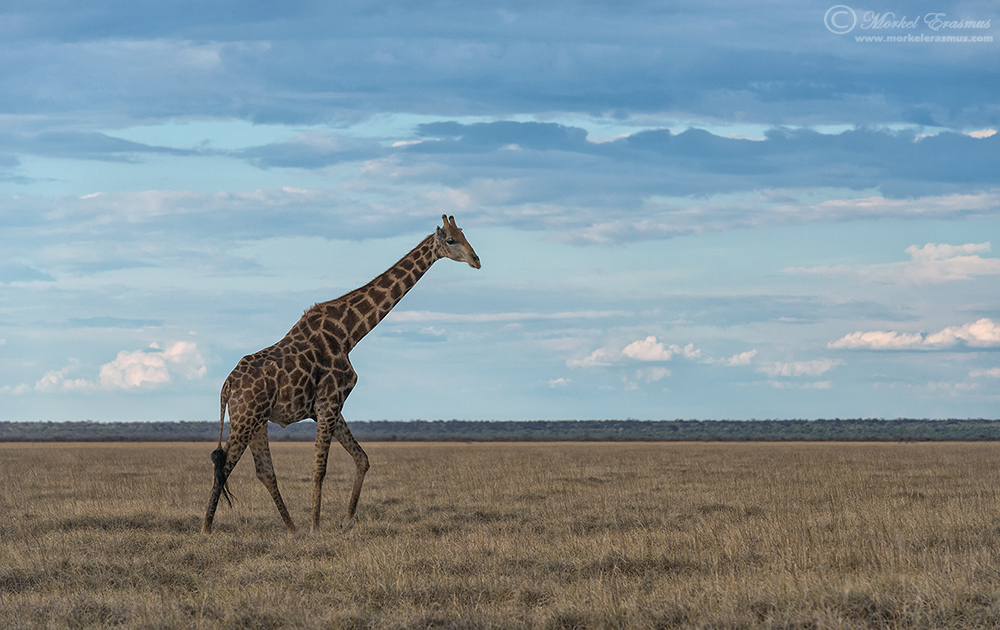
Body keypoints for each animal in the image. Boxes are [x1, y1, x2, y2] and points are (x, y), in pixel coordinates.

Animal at [202, 215, 480, 534]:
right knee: (224, 464)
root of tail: (227, 385)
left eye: (465, 235)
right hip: (245, 419)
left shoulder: (329, 406)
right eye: (451, 240)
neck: (350, 333)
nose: (476, 260)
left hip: (257, 421)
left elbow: (362, 459)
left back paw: (292, 529)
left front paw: (346, 521)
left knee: (264, 471)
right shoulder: (329, 402)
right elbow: (319, 468)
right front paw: (316, 526)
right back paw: (207, 528)